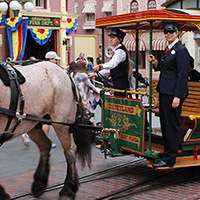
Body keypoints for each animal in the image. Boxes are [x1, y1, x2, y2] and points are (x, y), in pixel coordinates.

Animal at [0, 61, 92, 200]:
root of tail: (64, 71)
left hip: (62, 123)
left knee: (70, 150)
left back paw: (68, 190)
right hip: (32, 123)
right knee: (45, 144)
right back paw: (40, 184)